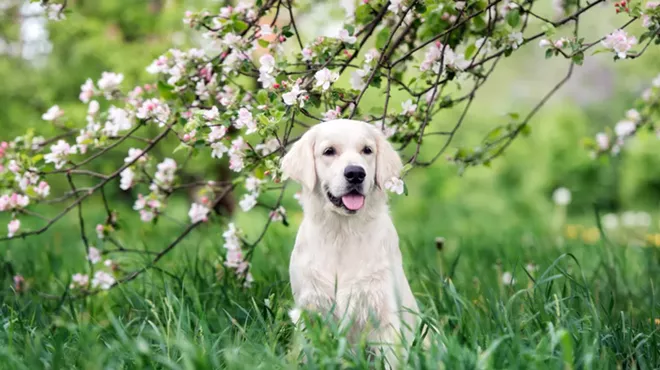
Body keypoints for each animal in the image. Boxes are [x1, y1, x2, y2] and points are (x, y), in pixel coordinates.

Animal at [282, 119, 420, 368]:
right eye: (329, 151)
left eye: (367, 150)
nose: (355, 173)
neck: (342, 233)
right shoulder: (310, 308)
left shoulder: (383, 312)